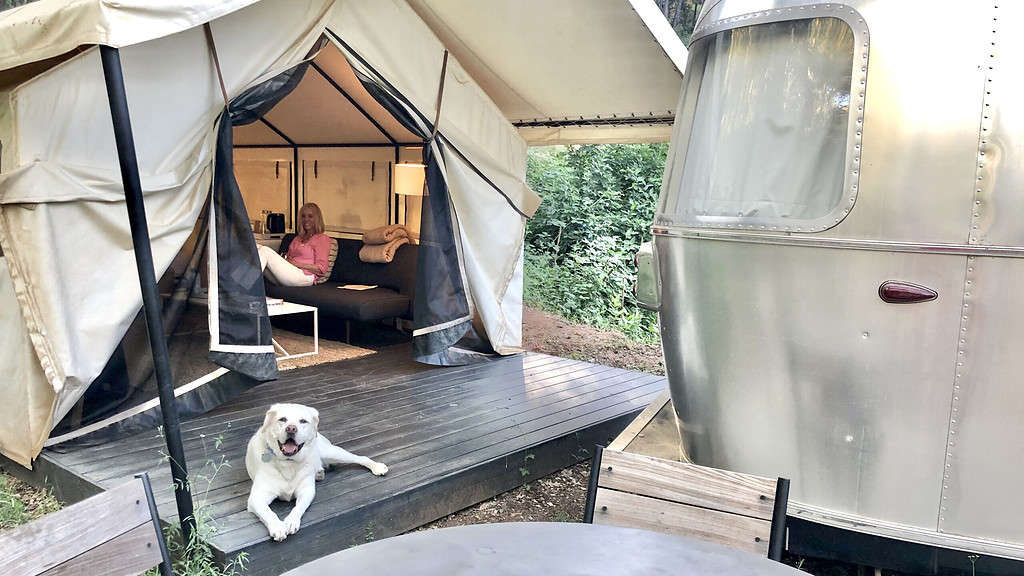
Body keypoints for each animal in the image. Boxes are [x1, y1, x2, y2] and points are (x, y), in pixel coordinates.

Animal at [245, 401, 389, 541]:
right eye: (282, 419)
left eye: (303, 421)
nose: (291, 428)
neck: (289, 462)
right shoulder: (256, 498)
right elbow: (269, 512)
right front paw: (277, 526)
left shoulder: (307, 491)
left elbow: (298, 508)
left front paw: (291, 521)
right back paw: (319, 473)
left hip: (332, 452)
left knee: (360, 458)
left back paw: (377, 467)